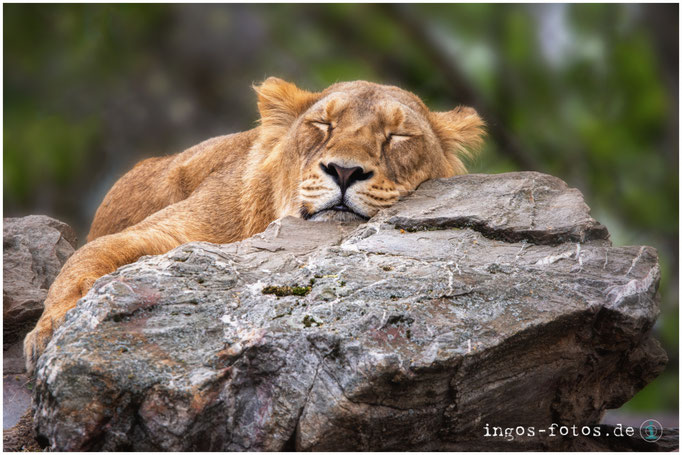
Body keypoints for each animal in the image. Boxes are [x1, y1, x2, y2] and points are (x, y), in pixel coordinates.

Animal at [24, 77, 485, 373]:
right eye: (323, 125)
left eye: (398, 136)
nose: (344, 171)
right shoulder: (167, 232)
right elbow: (84, 262)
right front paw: (49, 333)